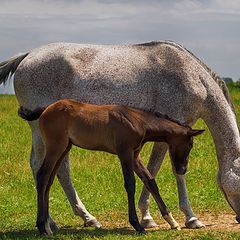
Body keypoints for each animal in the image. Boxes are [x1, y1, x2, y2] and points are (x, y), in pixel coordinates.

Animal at [18, 98, 204, 235]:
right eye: (190, 144)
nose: (182, 169)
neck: (138, 120)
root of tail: (46, 109)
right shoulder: (124, 152)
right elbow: (130, 184)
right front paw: (137, 225)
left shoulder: (134, 155)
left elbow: (150, 181)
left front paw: (172, 222)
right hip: (55, 147)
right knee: (42, 176)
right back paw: (42, 227)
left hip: (64, 148)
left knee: (48, 181)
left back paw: (47, 227)